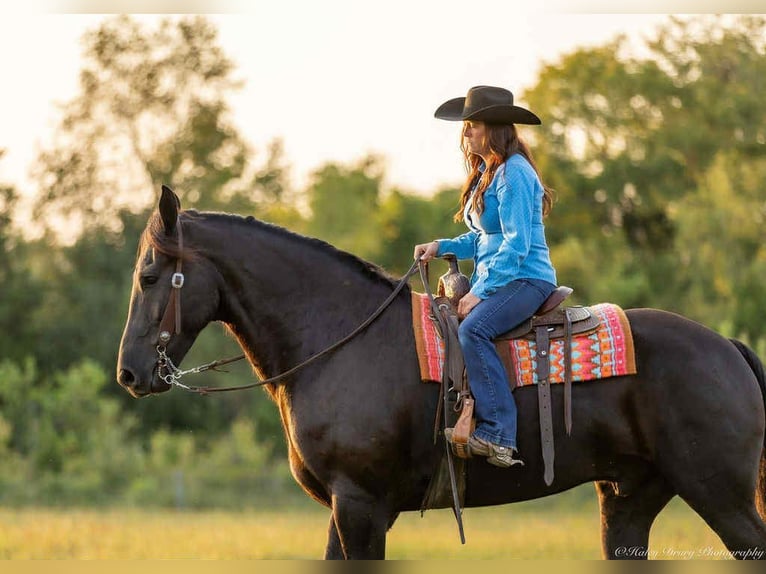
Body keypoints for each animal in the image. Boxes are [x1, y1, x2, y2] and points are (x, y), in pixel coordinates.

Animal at [117, 186, 766, 559]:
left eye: (149, 275)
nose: (129, 373)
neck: (339, 339)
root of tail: (729, 348)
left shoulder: (360, 506)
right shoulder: (344, 511)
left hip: (720, 494)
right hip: (628, 500)